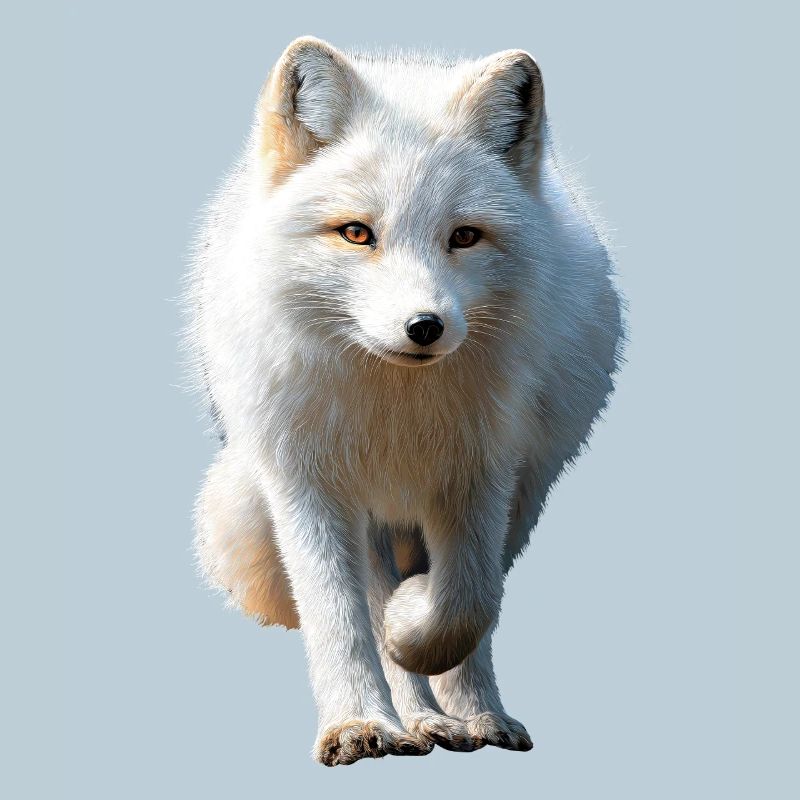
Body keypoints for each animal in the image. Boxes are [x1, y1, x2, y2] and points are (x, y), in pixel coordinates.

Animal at [186, 36, 624, 766]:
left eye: (465, 236)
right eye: (356, 233)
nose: (425, 327)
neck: (396, 411)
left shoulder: (482, 472)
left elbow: (468, 603)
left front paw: (418, 638)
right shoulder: (310, 482)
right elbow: (339, 616)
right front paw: (359, 722)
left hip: (524, 492)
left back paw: (468, 716)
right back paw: (414, 719)